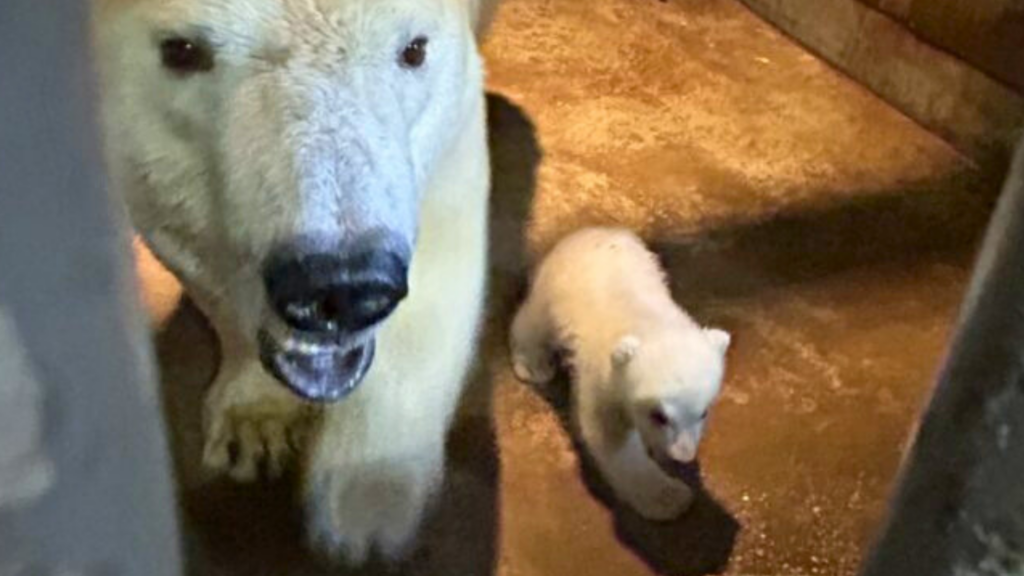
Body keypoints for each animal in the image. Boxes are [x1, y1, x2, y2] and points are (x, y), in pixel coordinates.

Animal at [92, 0, 499, 564]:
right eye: (182, 51)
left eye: (413, 50)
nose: (341, 288)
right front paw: (255, 425)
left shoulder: (450, 110)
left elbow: (444, 228)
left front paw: (366, 497)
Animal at [509, 227, 731, 521]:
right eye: (659, 415)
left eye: (703, 412)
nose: (682, 455)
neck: (649, 321)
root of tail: (592, 231)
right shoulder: (602, 373)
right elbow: (609, 436)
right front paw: (670, 498)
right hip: (553, 289)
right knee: (533, 322)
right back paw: (534, 365)